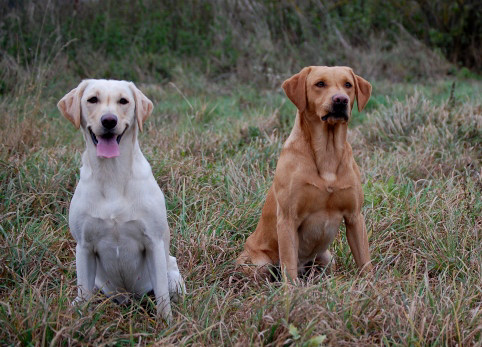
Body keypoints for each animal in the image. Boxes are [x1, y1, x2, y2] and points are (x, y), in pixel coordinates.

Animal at [57, 79, 185, 324]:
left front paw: (167, 324)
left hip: (171, 270)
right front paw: (81, 323)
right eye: (92, 99)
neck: (112, 175)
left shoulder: (154, 243)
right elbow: (84, 293)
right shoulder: (84, 247)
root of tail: (128, 296)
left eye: (123, 101)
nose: (109, 120)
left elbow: (162, 296)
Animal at [237, 66, 372, 282]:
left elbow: (365, 261)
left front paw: (372, 285)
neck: (327, 153)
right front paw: (291, 291)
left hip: (326, 258)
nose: (340, 99)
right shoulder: (287, 219)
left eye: (348, 85)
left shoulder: (354, 217)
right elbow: (289, 268)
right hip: (260, 264)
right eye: (320, 84)